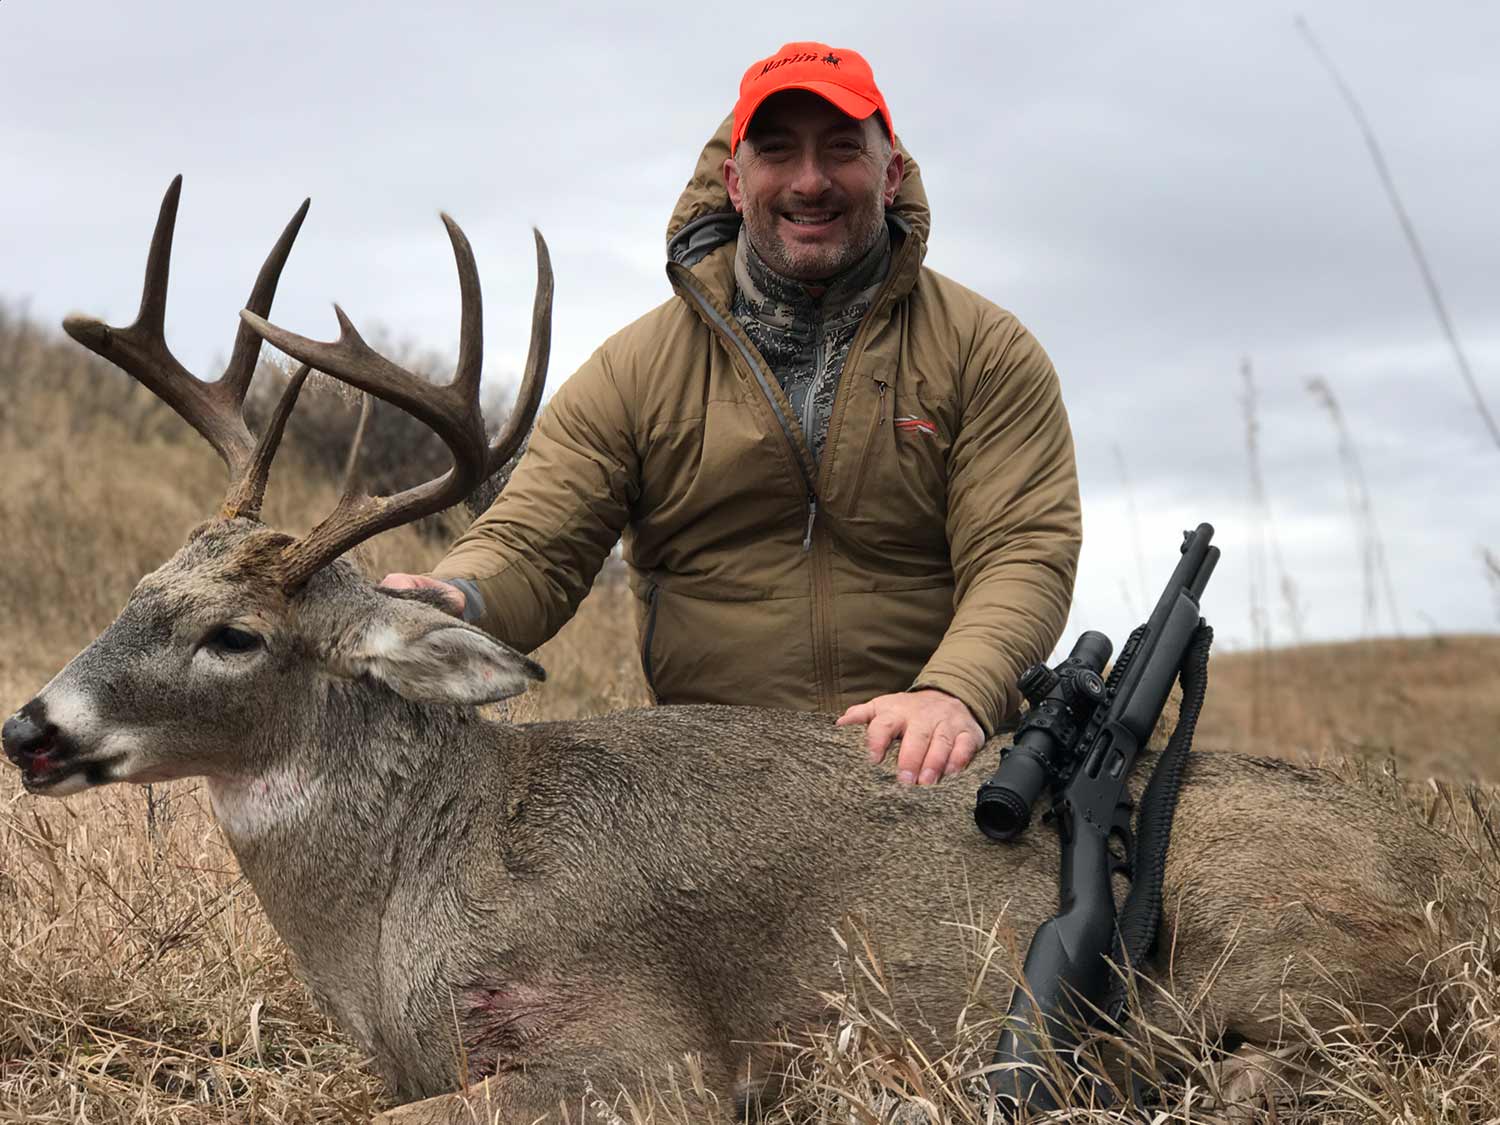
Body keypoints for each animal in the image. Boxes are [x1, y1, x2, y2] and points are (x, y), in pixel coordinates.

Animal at [2, 178, 1478, 1123]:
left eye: (235, 635)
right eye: (139, 588)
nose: (33, 726)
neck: (404, 897)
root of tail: (1456, 887)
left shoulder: (641, 1055)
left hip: (1280, 949)